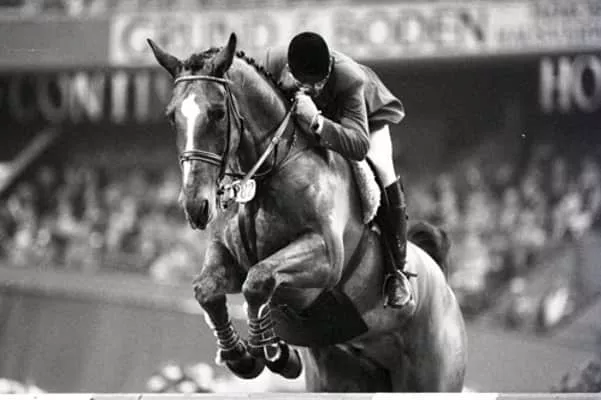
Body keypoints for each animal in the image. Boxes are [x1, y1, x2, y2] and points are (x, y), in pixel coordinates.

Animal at [147, 32, 467, 392]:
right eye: (172, 116)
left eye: (216, 113)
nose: (195, 207)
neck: (269, 171)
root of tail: (445, 288)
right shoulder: (227, 255)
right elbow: (207, 290)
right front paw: (243, 358)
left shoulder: (324, 258)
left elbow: (258, 281)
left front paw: (272, 353)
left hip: (430, 376)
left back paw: (398, 288)